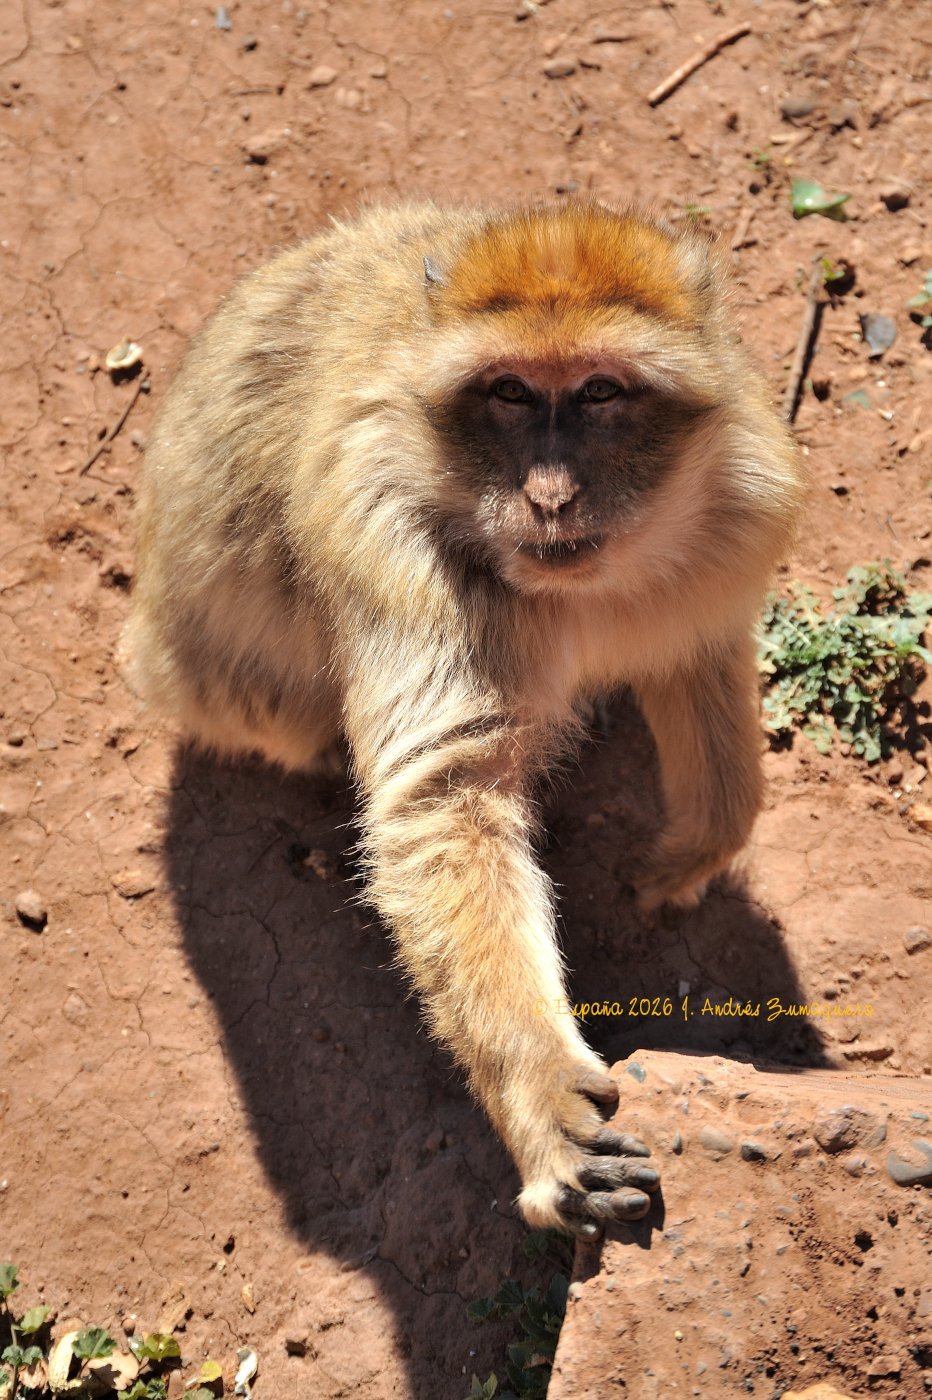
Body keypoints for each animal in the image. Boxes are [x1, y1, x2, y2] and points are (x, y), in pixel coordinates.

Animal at [123, 200, 806, 1237]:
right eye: (512, 393)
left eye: (600, 391)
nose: (550, 495)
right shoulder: (395, 543)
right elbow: (445, 803)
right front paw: (547, 1109)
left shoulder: (734, 518)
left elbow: (698, 660)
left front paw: (692, 853)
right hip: (217, 683)